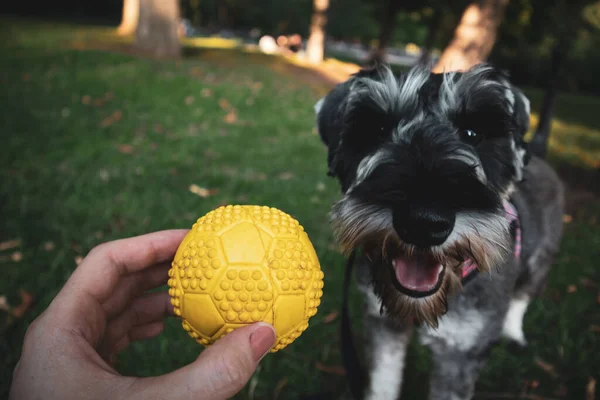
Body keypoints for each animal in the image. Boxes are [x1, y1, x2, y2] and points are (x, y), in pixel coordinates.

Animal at [314, 64, 568, 398]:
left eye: (473, 133)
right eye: (378, 130)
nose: (423, 222)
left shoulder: (460, 354)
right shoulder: (384, 327)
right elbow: (383, 381)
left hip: (542, 258)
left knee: (523, 295)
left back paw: (513, 332)